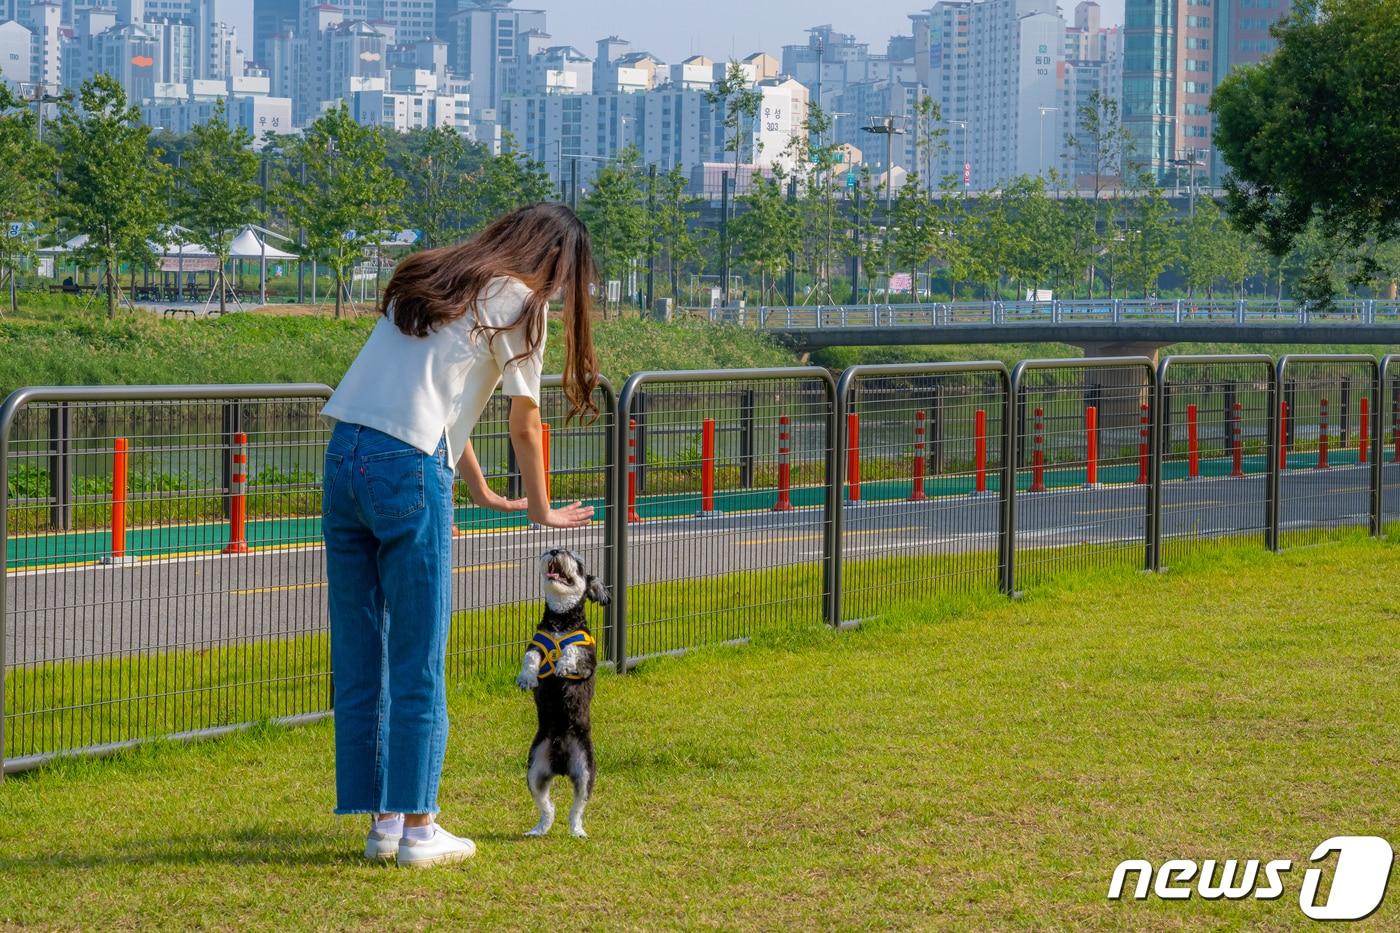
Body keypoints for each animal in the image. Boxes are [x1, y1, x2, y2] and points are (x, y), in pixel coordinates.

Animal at [512, 546, 604, 834]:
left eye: (577, 560)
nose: (555, 550)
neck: (561, 622)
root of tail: (561, 763)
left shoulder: (588, 661)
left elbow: (573, 650)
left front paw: (562, 664)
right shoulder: (535, 645)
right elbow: (530, 658)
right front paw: (527, 678)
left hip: (585, 769)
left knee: (577, 809)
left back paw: (578, 832)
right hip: (534, 769)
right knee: (547, 808)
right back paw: (538, 829)